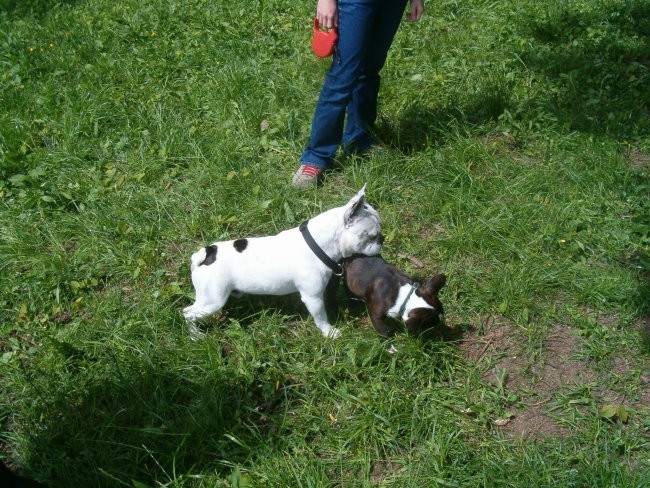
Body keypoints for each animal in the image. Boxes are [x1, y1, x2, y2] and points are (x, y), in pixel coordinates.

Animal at [184, 186, 380, 340]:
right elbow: (321, 318)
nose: (382, 240)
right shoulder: (313, 298)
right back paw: (195, 335)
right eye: (372, 236)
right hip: (212, 301)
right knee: (188, 313)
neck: (318, 243)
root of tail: (206, 254)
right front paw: (329, 332)